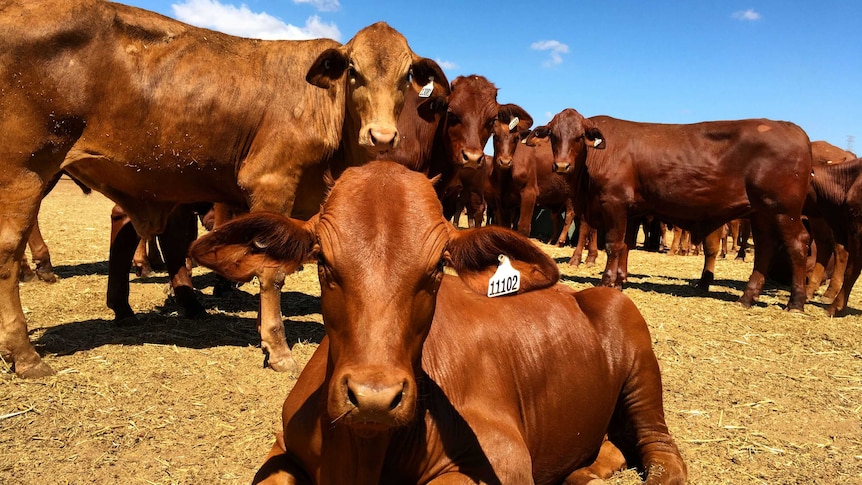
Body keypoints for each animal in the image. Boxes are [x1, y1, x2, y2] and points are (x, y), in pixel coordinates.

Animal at [0, 0, 446, 378]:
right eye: (354, 71)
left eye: (407, 76)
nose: (382, 137)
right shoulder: (271, 184)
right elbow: (271, 273)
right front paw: (277, 348)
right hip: (24, 172)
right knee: (9, 251)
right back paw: (25, 354)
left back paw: (123, 308)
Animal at [189, 162, 688, 484]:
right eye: (324, 264)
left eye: (435, 269)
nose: (374, 398)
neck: (361, 455)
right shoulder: (283, 448)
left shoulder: (503, 460)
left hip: (637, 355)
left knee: (662, 451)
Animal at [528, 109, 816, 310]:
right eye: (554, 135)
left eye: (579, 137)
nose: (561, 165)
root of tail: (792, 129)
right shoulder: (633, 211)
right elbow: (626, 246)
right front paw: (620, 281)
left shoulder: (614, 203)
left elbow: (613, 245)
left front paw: (607, 282)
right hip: (761, 214)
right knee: (765, 248)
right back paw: (747, 297)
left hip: (783, 211)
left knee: (797, 244)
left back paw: (796, 302)